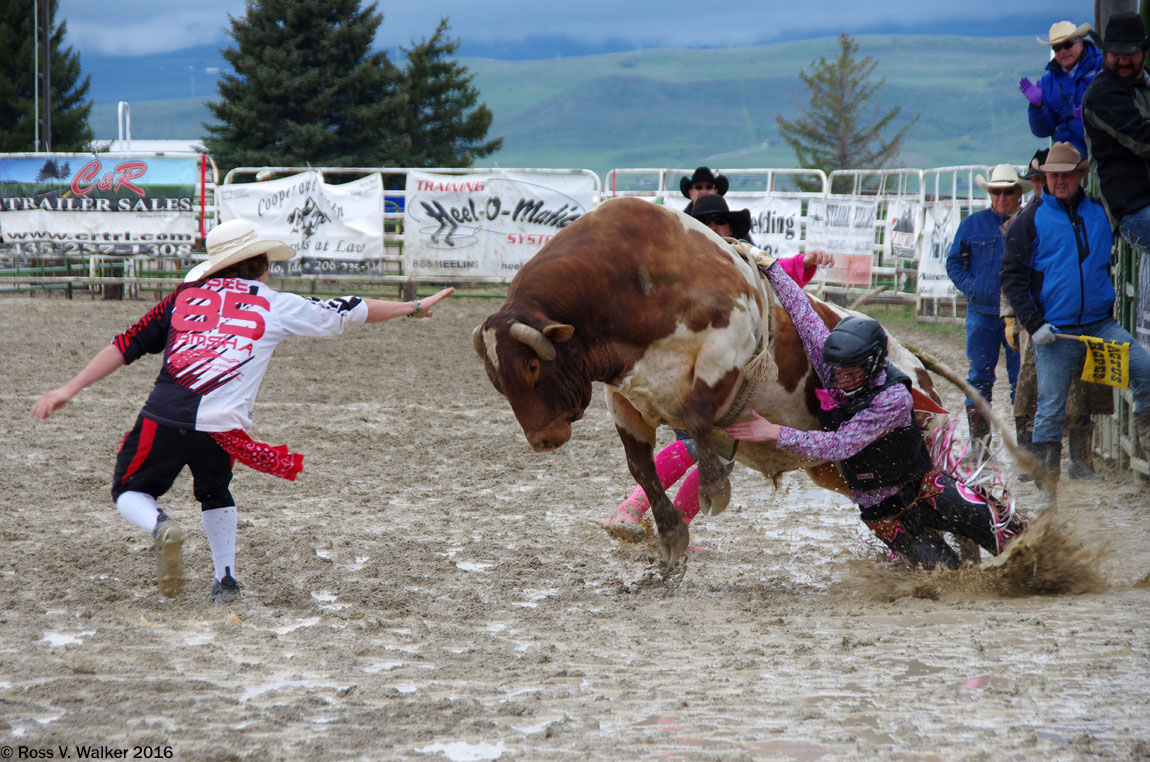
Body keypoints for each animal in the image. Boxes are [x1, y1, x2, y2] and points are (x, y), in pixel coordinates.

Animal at [471, 196, 938, 565]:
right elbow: (641, 465)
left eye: (532, 367)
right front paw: (671, 534)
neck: (630, 280)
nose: (543, 439)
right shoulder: (621, 396)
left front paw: (715, 488)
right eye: (496, 378)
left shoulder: (728, 342)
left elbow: (697, 417)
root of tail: (917, 373)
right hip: (831, 469)